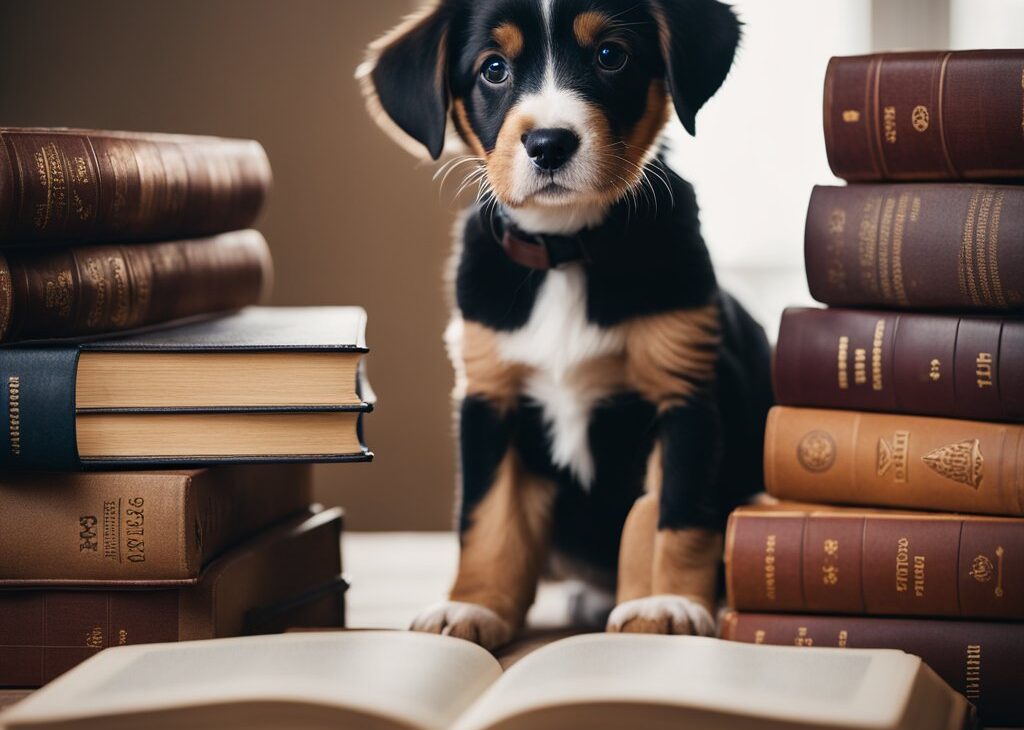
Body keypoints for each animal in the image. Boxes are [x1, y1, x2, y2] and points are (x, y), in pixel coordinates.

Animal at [360, 0, 770, 651]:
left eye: (610, 55)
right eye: (493, 68)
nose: (548, 144)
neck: (567, 250)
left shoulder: (684, 389)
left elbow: (673, 510)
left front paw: (665, 601)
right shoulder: (489, 397)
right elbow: (486, 517)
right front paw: (473, 605)